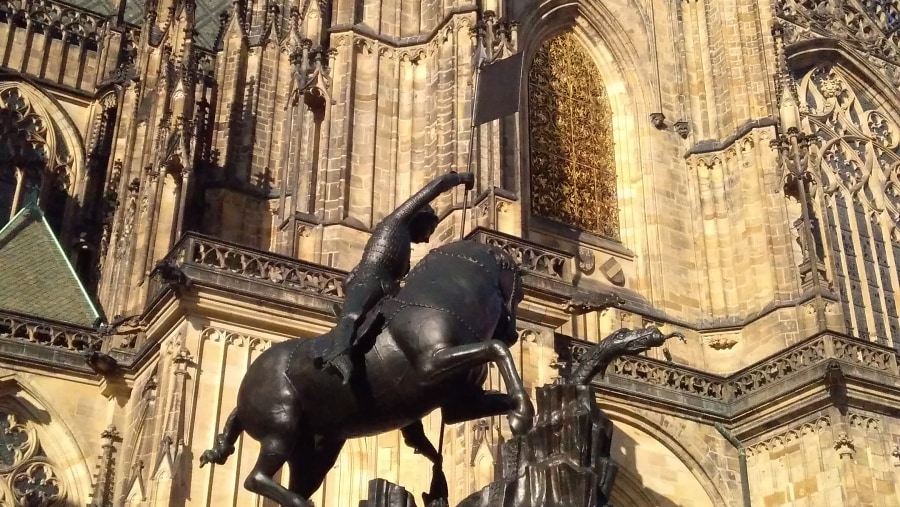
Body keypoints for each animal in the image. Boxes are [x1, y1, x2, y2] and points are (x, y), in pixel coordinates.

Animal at [200, 240, 536, 506]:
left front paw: (521, 410)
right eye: (519, 293)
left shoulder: (460, 403)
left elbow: (492, 386)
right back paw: (300, 502)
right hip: (281, 428)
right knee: (255, 478)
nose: (514, 333)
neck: (439, 299)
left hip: (316, 452)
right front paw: (521, 413)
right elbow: (496, 349)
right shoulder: (433, 365)